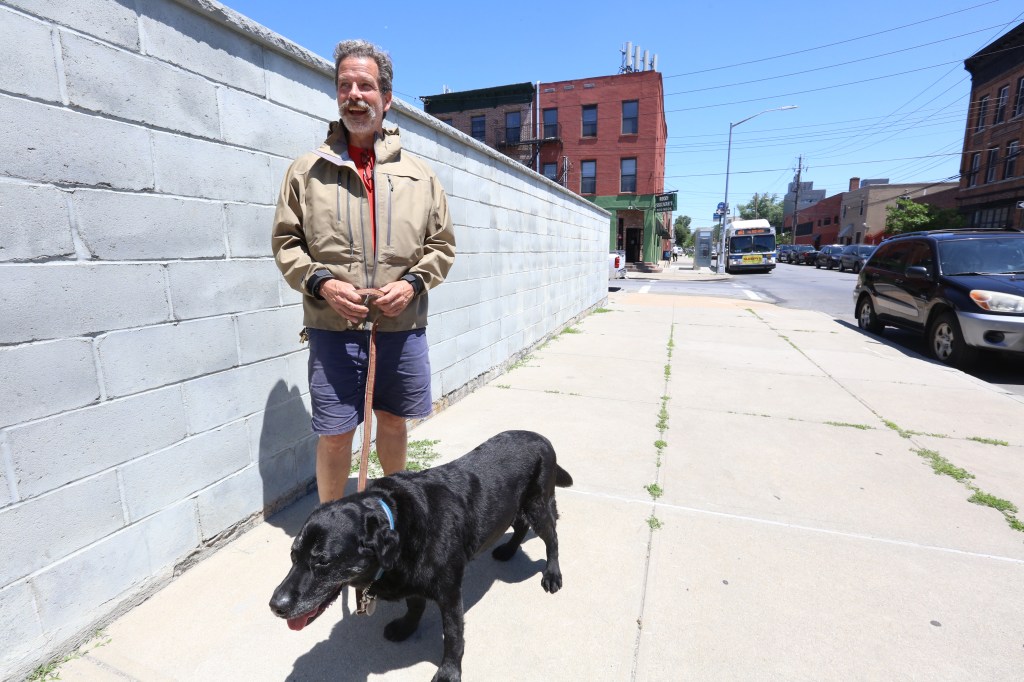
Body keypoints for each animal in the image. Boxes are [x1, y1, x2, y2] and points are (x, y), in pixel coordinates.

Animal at [272, 430, 573, 679]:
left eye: (322, 560)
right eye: (293, 555)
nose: (275, 606)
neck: (397, 523)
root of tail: (541, 437)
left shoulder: (450, 594)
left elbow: (453, 636)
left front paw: (449, 672)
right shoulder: (412, 579)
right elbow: (414, 606)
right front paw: (406, 628)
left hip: (538, 505)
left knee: (552, 538)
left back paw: (552, 575)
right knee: (520, 525)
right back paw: (508, 550)